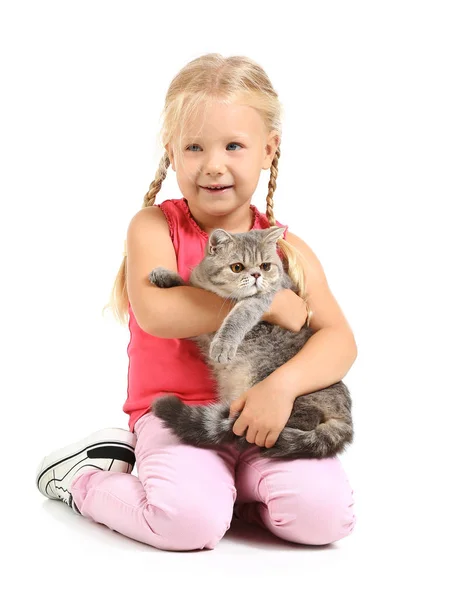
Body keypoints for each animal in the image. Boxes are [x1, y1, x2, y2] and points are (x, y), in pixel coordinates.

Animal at [149, 226, 354, 460]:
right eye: (237, 267)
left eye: (265, 266)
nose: (256, 275)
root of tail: (345, 419)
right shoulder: (199, 328)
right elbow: (188, 284)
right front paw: (165, 275)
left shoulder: (261, 300)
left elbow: (238, 317)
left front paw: (224, 345)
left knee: (301, 420)